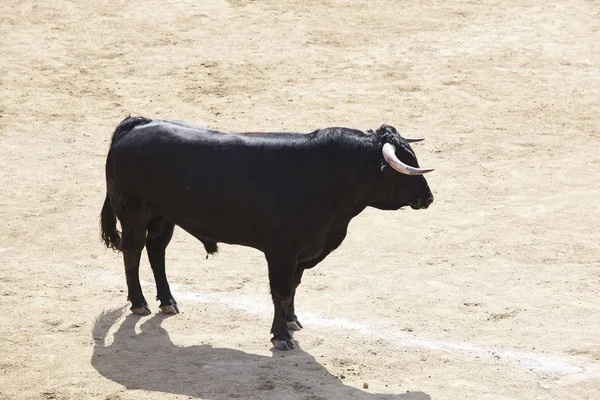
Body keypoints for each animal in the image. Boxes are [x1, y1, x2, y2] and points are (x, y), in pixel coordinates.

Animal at [101, 116, 434, 350]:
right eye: (404, 165)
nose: (429, 197)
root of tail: (136, 124)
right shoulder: (281, 253)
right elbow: (281, 291)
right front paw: (280, 335)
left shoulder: (303, 252)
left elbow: (293, 289)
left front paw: (292, 322)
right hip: (133, 212)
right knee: (133, 251)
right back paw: (139, 302)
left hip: (163, 215)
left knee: (156, 250)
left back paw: (167, 301)